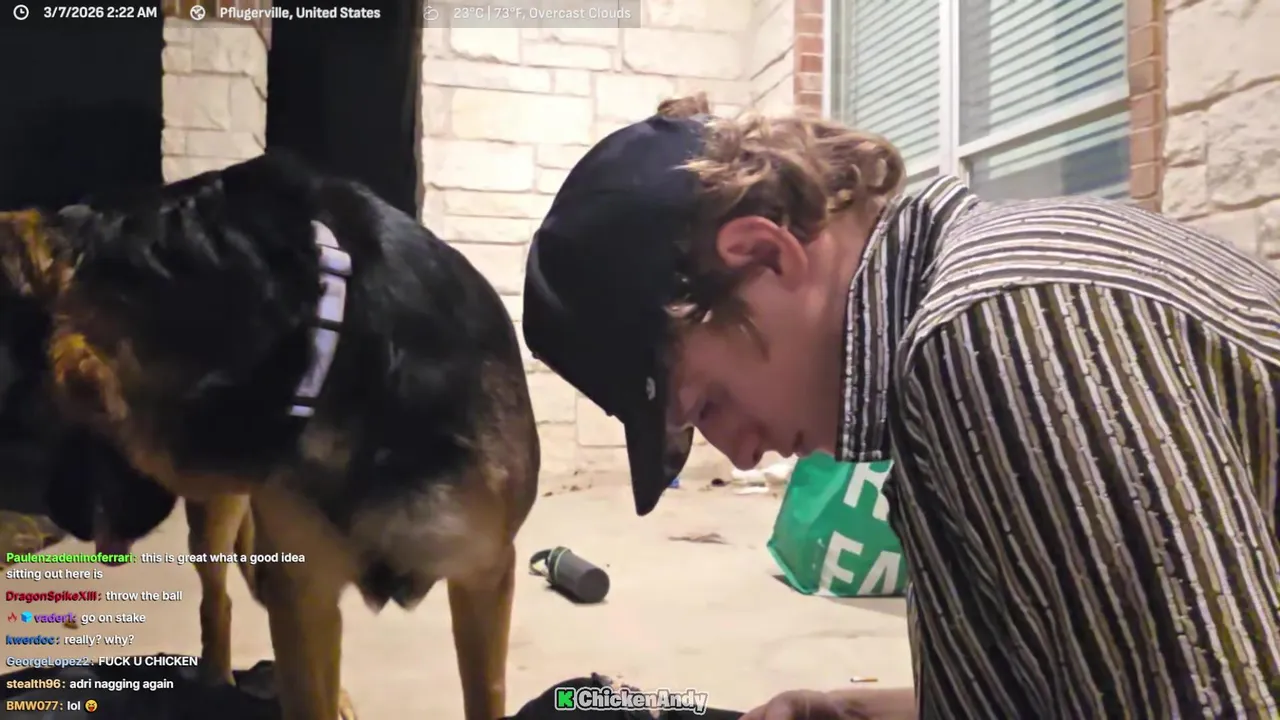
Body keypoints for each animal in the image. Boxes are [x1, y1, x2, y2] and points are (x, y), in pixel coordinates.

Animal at [0, 151, 540, 720]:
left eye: (63, 417)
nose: (57, 519)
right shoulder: (302, 589)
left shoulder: (483, 573)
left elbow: (486, 694)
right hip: (221, 527)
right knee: (218, 598)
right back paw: (217, 678)